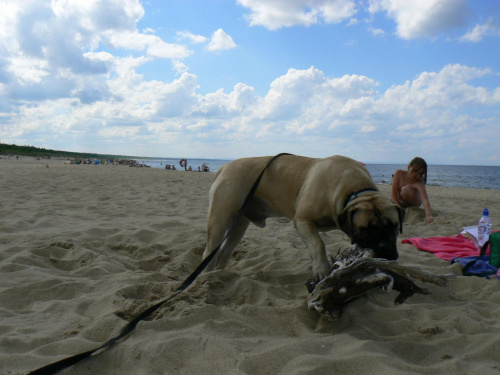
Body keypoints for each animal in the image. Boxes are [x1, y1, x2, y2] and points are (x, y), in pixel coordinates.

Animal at [201, 154, 404, 280]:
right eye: (365, 229)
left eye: (394, 226)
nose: (385, 248)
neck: (353, 190)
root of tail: (225, 166)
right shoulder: (302, 220)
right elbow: (318, 244)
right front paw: (321, 269)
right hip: (220, 219)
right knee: (209, 251)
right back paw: (206, 278)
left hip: (239, 224)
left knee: (225, 251)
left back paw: (219, 276)